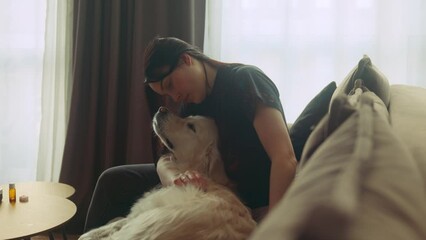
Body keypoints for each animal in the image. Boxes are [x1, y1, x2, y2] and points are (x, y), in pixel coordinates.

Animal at [78, 107, 255, 240]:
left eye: (191, 127)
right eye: (188, 116)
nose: (162, 109)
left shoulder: (143, 210)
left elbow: (116, 223)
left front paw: (91, 233)